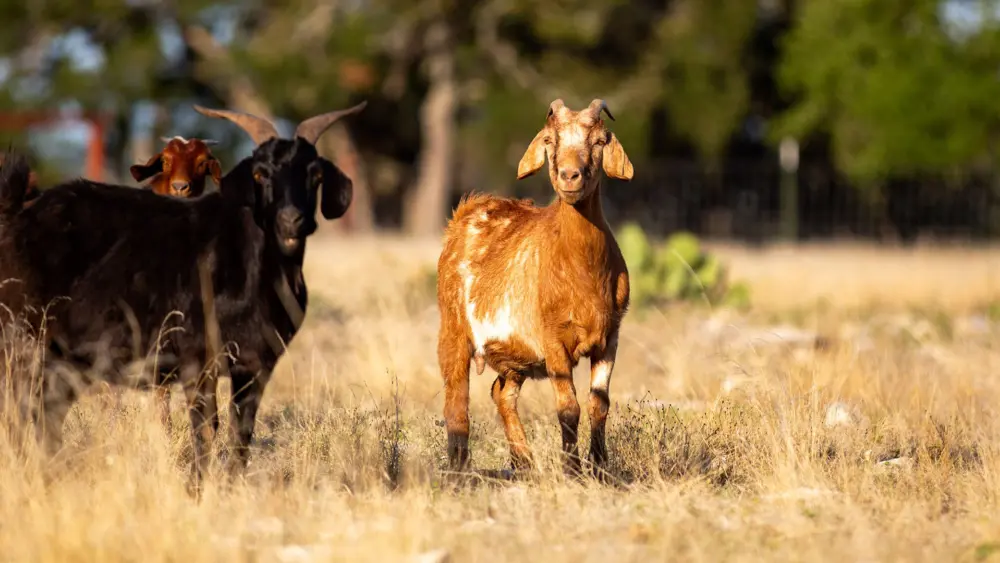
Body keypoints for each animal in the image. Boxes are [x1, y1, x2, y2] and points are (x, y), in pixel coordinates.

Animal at [0, 101, 364, 489]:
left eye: (316, 175)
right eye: (260, 174)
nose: (291, 220)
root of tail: (18, 214)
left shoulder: (256, 366)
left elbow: (241, 431)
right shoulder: (197, 360)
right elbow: (206, 427)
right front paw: (197, 489)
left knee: (44, 414)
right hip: (23, 343)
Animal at [436, 98, 634, 478]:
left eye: (599, 141)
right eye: (548, 140)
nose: (570, 176)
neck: (581, 270)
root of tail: (468, 208)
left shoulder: (611, 337)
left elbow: (599, 403)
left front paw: (600, 468)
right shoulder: (553, 338)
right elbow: (568, 408)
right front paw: (572, 470)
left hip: (514, 356)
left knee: (502, 392)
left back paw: (523, 461)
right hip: (452, 327)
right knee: (456, 398)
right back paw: (459, 467)